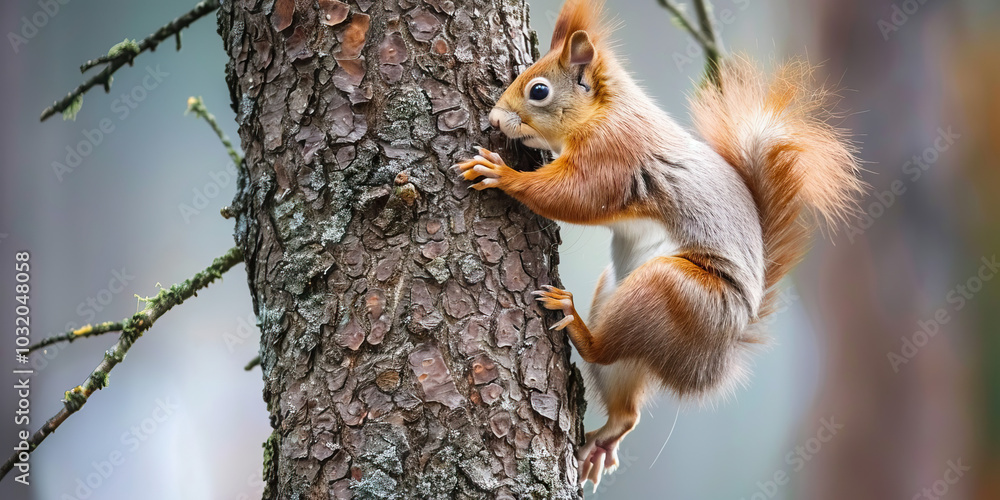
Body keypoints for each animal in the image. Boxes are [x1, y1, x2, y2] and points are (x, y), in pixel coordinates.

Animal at [456, 0, 863, 489]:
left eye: (538, 91)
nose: (495, 120)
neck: (605, 110)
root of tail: (717, 356)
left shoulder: (613, 156)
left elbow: (573, 196)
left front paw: (502, 173)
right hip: (621, 303)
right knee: (626, 408)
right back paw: (604, 441)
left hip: (671, 292)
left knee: (603, 351)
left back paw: (571, 316)